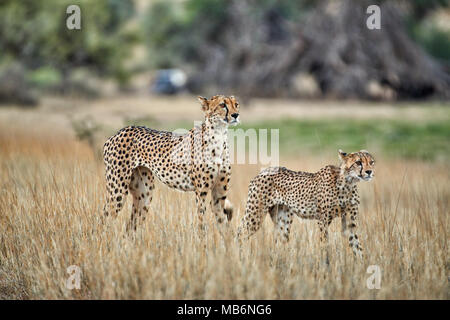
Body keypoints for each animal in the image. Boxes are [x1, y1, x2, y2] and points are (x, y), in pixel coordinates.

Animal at [103, 94, 241, 230]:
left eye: (236, 104)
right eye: (222, 105)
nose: (235, 115)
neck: (219, 135)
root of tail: (119, 132)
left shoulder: (219, 192)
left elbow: (223, 223)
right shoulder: (201, 192)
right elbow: (202, 223)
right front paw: (203, 236)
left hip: (144, 193)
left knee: (131, 225)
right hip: (117, 189)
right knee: (106, 216)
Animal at [237, 150, 374, 258]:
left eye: (371, 162)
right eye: (358, 162)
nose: (369, 172)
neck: (348, 183)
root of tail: (263, 171)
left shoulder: (350, 222)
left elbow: (357, 246)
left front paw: (361, 267)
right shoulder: (323, 220)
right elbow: (325, 244)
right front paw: (326, 266)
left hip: (283, 219)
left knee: (279, 240)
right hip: (255, 214)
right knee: (240, 232)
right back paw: (239, 258)